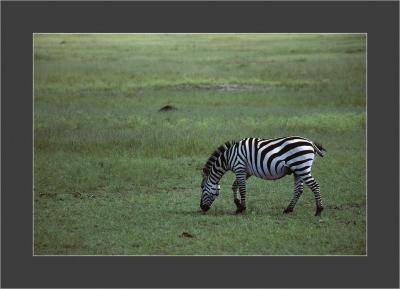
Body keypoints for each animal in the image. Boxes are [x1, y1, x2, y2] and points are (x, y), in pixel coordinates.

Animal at [198, 136, 326, 215]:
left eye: (202, 188)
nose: (202, 208)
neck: (228, 157)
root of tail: (310, 143)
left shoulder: (239, 168)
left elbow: (242, 189)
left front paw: (242, 208)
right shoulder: (246, 172)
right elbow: (235, 186)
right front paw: (238, 205)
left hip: (302, 167)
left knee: (315, 186)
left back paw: (319, 210)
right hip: (298, 170)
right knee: (299, 190)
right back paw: (288, 209)